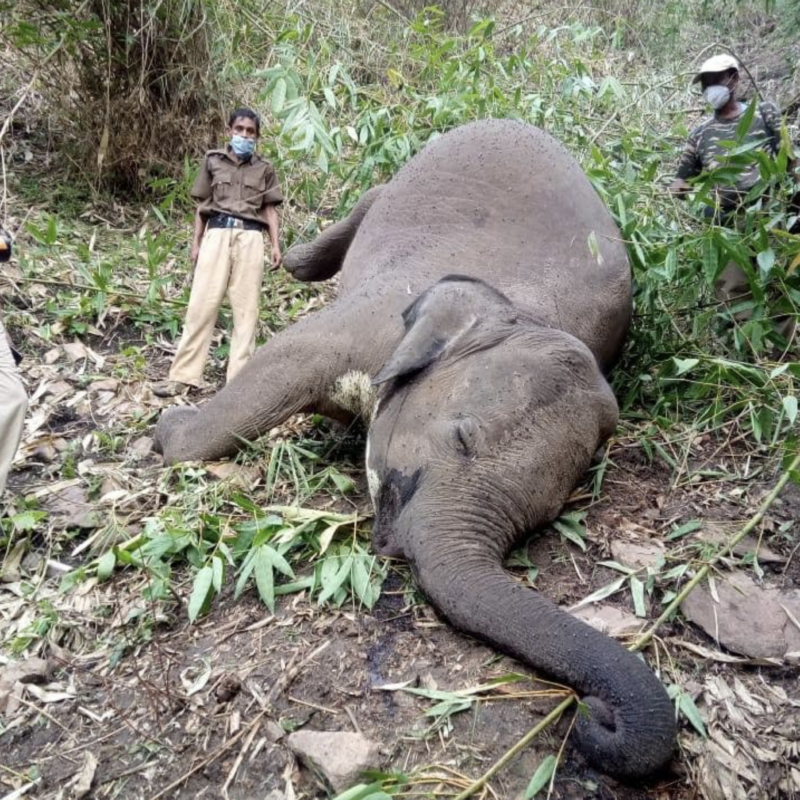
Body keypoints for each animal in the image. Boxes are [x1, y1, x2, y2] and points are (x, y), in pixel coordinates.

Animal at [155, 120, 676, 780]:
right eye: (461, 438)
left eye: (547, 514)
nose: (594, 716)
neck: (515, 310)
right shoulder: (371, 316)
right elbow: (284, 361)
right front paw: (169, 426)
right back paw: (294, 258)